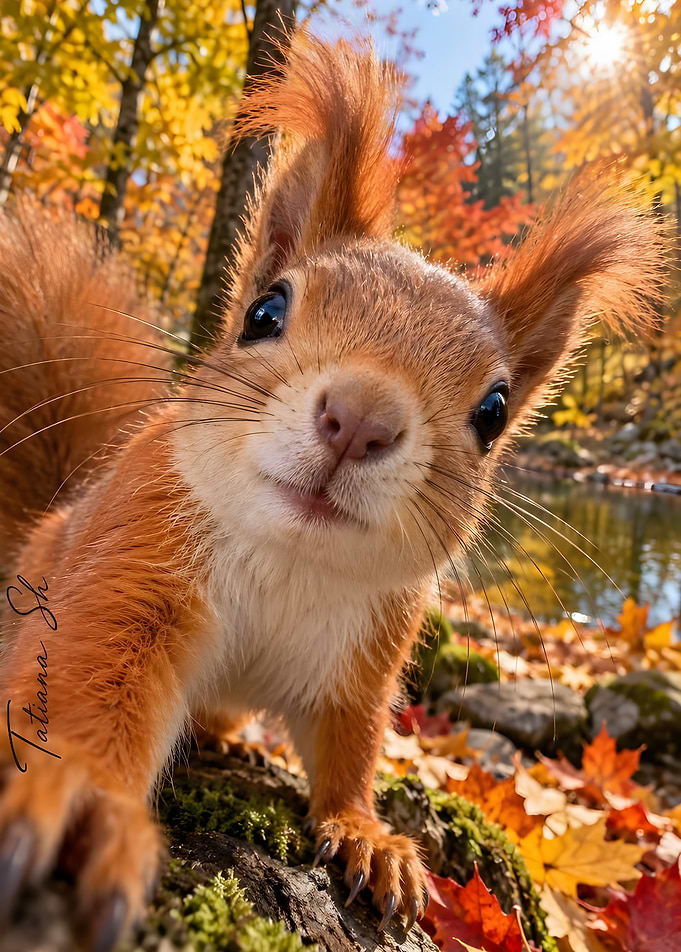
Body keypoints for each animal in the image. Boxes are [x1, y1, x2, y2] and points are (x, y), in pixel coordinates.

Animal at [0, 32, 667, 952]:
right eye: (264, 312)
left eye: (493, 410)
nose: (360, 419)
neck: (292, 560)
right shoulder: (129, 566)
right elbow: (84, 685)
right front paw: (85, 808)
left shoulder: (364, 662)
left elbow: (350, 752)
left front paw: (366, 836)